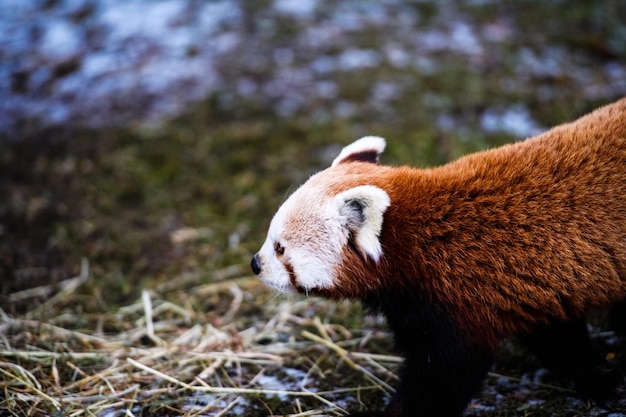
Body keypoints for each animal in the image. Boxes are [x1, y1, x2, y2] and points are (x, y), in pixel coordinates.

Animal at [251, 98, 624, 416]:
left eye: (280, 248)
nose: (255, 264)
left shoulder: (456, 301)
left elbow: (442, 375)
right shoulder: (536, 287)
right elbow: (560, 338)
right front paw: (598, 379)